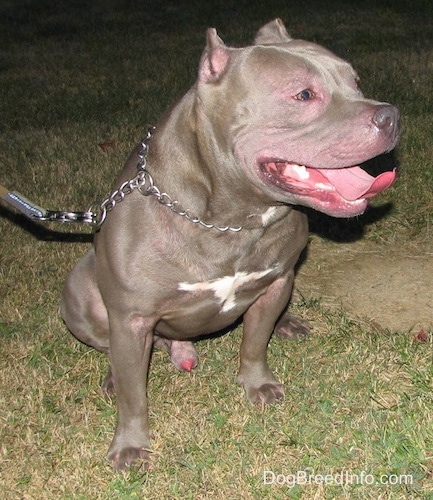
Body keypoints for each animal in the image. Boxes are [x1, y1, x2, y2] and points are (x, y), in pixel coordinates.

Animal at [60, 16, 398, 468]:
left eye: (356, 82)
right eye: (303, 94)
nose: (391, 115)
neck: (233, 221)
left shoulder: (276, 282)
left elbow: (254, 342)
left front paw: (257, 384)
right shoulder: (132, 319)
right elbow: (134, 396)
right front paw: (130, 444)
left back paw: (287, 323)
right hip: (80, 290)